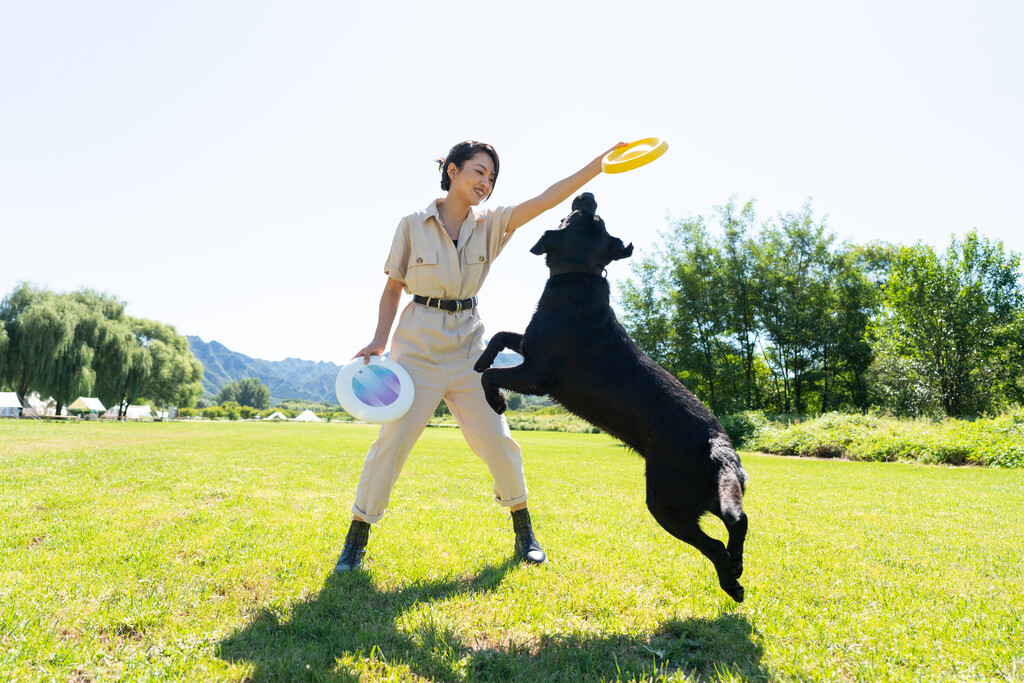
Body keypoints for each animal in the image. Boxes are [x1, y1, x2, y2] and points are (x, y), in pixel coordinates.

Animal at [475, 192, 749, 602]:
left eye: (589, 219)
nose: (587, 195)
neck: (578, 276)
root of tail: (717, 443)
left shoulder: (539, 375)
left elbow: (491, 374)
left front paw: (497, 401)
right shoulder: (530, 346)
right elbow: (500, 337)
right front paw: (480, 358)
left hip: (666, 503)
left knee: (715, 543)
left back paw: (732, 584)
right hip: (709, 495)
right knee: (738, 521)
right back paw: (738, 565)